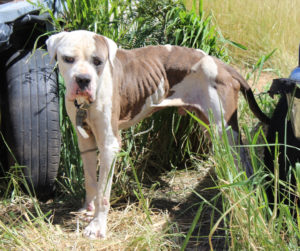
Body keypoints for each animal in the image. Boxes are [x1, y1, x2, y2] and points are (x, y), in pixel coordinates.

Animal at [45, 30, 270, 238]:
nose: (83, 79)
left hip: (223, 130)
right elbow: (91, 181)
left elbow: (103, 193)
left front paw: (97, 227)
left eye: (97, 61)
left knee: (243, 161)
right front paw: (87, 210)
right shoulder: (86, 141)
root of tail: (223, 65)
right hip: (210, 127)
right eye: (68, 59)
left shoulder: (109, 145)